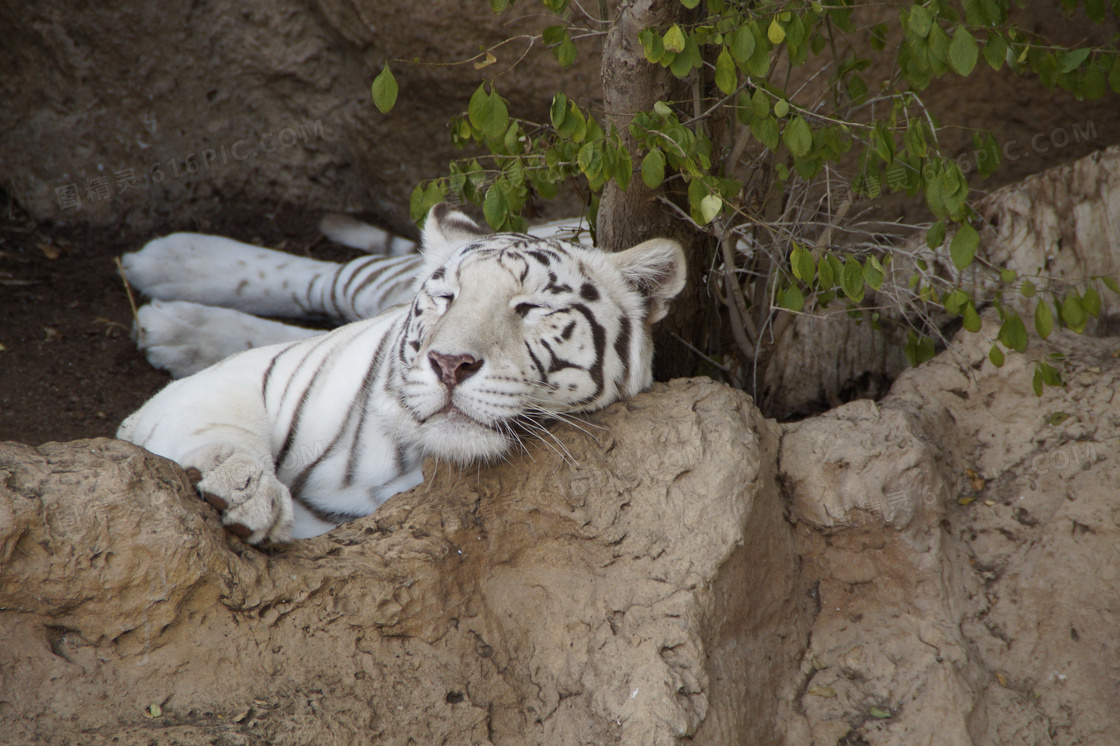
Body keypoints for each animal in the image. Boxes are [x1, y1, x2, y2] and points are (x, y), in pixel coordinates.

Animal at [118, 203, 685, 539]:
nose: (450, 363)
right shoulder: (239, 380)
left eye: (531, 308)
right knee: (335, 277)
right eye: (447, 297)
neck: (407, 458)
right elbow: (220, 432)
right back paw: (172, 264)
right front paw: (245, 492)